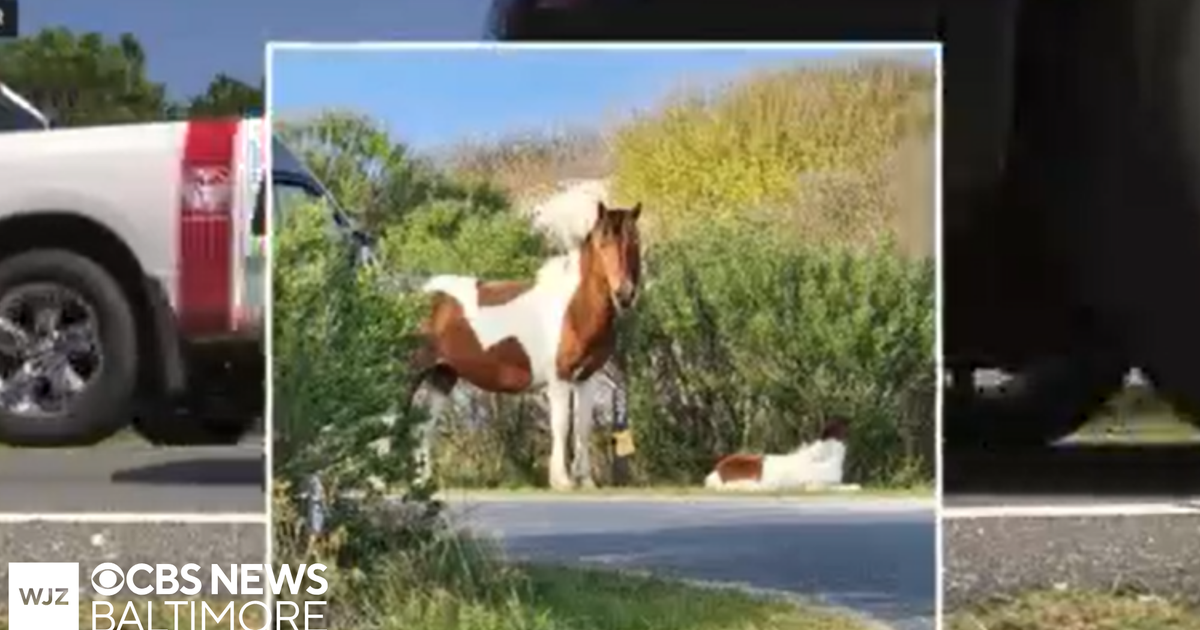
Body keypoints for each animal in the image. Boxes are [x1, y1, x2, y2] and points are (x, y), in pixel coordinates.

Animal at [406, 200, 643, 490]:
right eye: (602, 242)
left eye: (635, 240)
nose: (625, 293)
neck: (574, 309)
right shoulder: (560, 378)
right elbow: (561, 425)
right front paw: (561, 480)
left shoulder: (586, 378)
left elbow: (582, 427)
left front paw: (585, 480)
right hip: (409, 372)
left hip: (442, 376)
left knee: (424, 427)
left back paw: (423, 482)